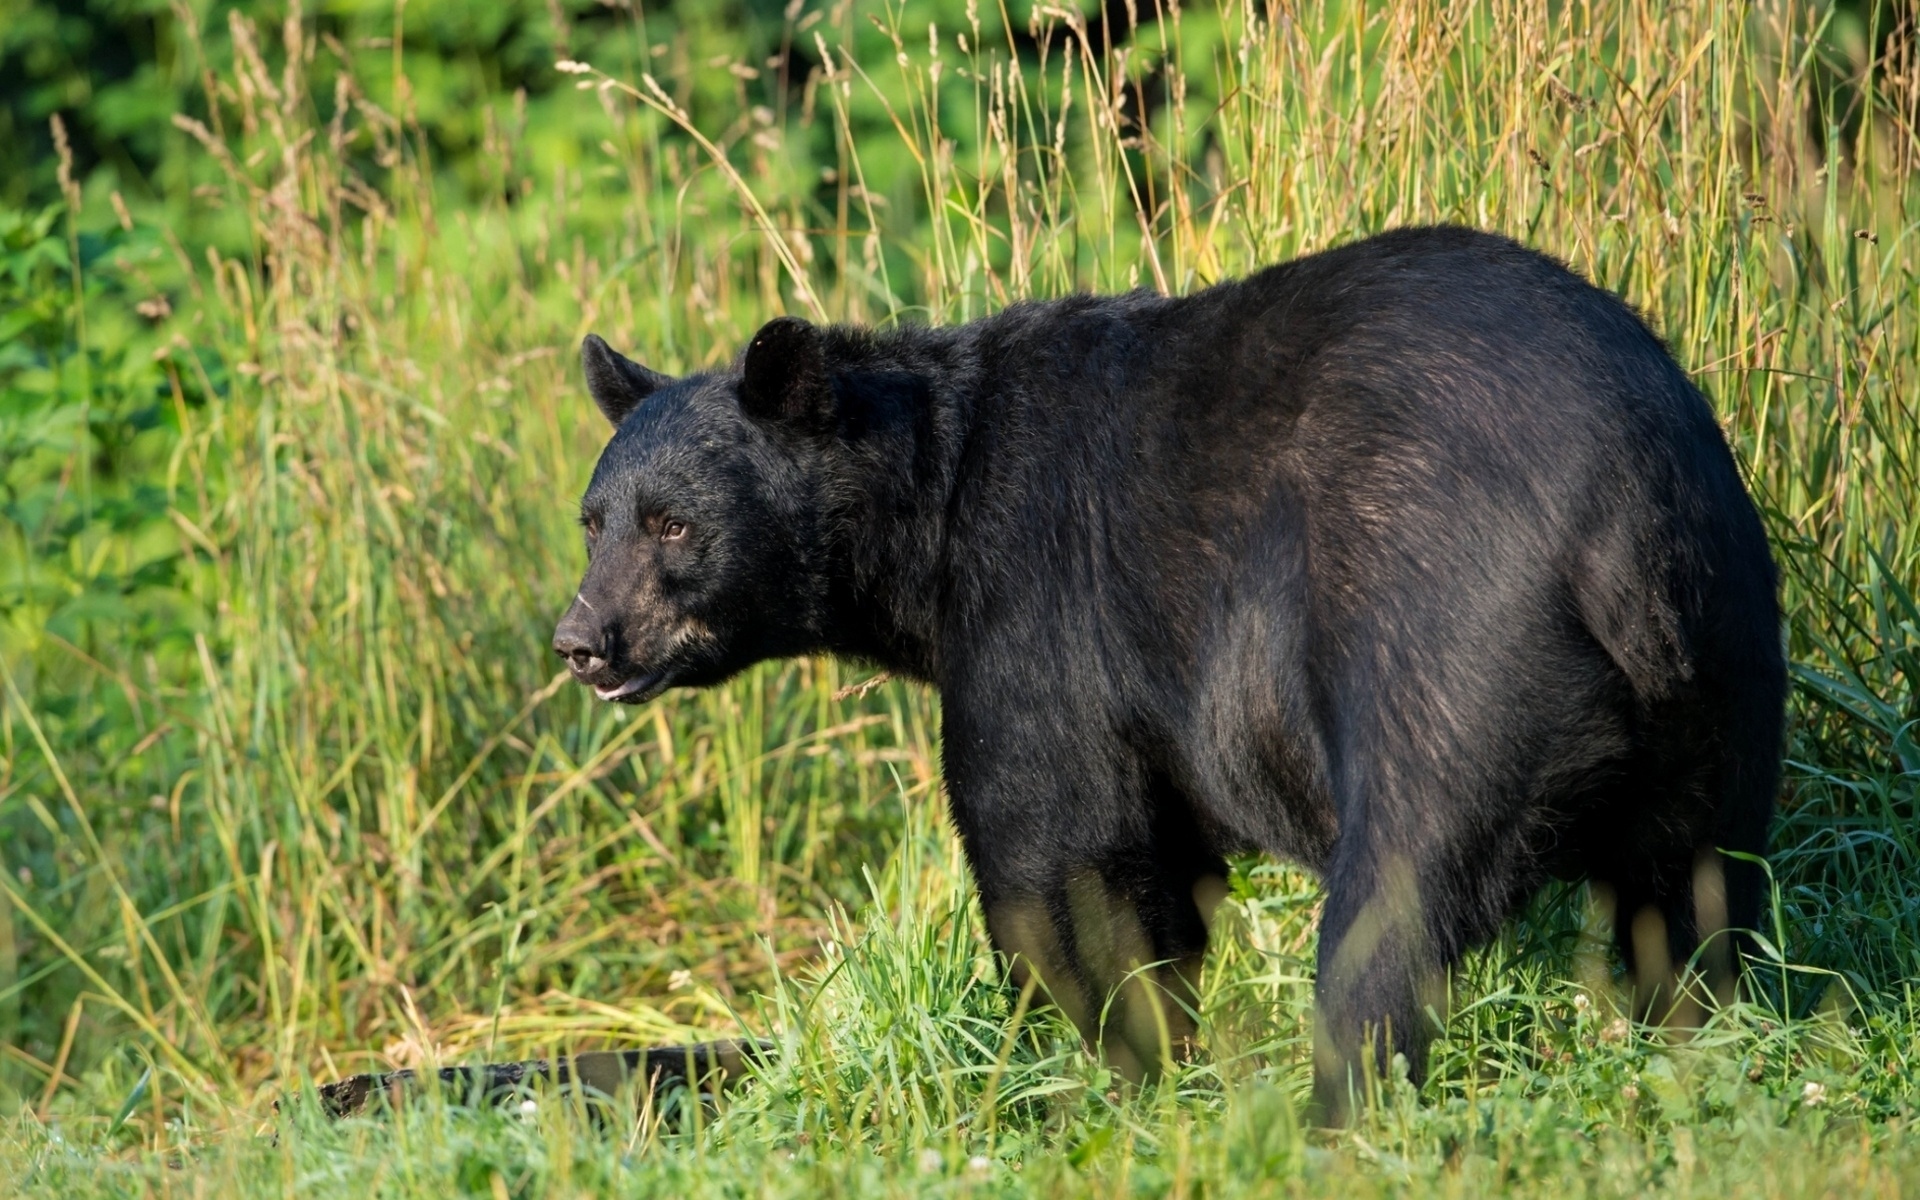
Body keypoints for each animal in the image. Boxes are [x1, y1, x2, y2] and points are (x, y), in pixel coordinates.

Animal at [550, 225, 1785, 1123]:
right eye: (594, 518)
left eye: (672, 524)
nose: (582, 639)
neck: (930, 516)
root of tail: (1619, 525)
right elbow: (1157, 868)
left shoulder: (1040, 605)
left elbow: (1058, 853)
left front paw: (1099, 1068)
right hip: (1723, 674)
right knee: (1695, 893)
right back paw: (1700, 1046)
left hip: (1442, 650)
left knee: (1394, 904)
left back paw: (1336, 1112)